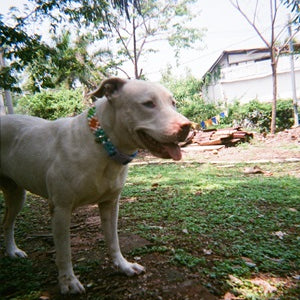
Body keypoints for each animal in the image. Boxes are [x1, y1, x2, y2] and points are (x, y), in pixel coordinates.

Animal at [0, 77, 191, 292]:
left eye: (173, 103)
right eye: (148, 104)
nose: (187, 126)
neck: (103, 145)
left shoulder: (110, 204)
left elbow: (113, 240)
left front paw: (123, 266)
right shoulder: (61, 209)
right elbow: (64, 251)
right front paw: (68, 281)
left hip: (16, 194)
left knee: (7, 223)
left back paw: (12, 251)